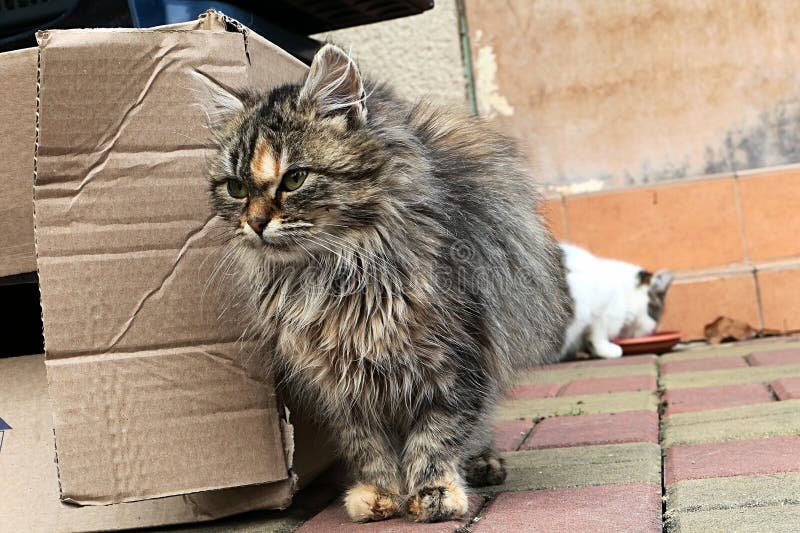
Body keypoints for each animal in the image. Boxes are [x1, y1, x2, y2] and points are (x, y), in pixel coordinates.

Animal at [203, 44, 572, 520]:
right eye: (234, 188)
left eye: (295, 179)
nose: (256, 223)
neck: (335, 271)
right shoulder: (341, 381)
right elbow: (367, 445)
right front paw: (379, 494)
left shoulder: (457, 360)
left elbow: (438, 435)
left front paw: (433, 493)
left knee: (477, 428)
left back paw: (483, 462)